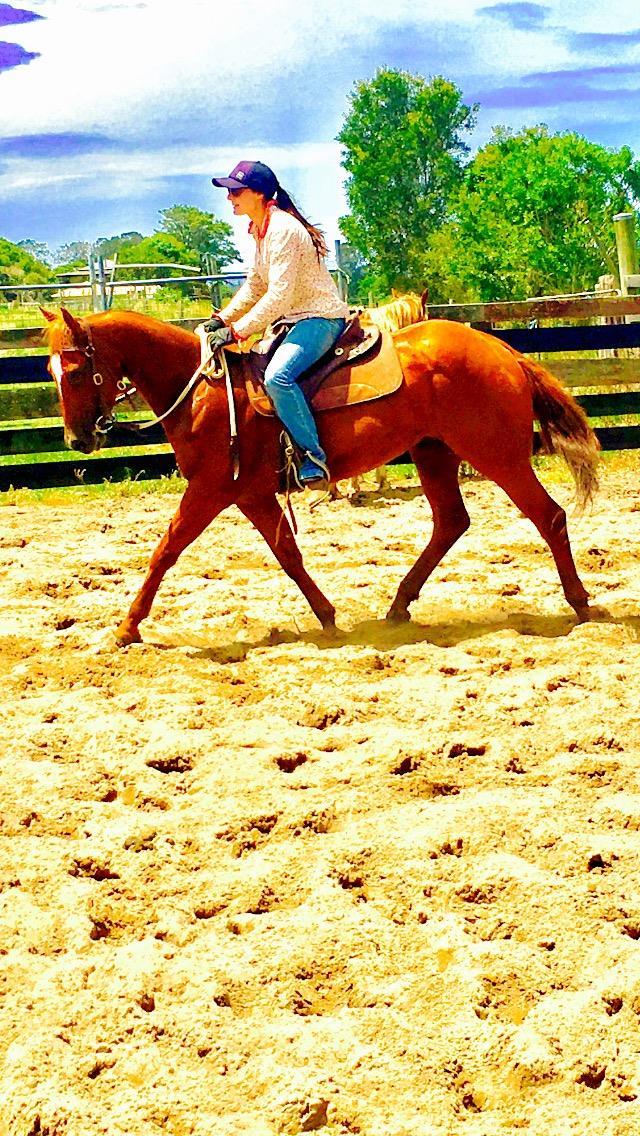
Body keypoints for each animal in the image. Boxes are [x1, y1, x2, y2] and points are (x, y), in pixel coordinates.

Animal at [43, 306, 599, 647]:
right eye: (49, 370)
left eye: (75, 370)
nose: (77, 439)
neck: (201, 390)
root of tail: (503, 350)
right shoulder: (252, 495)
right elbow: (287, 554)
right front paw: (329, 617)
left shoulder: (211, 490)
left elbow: (165, 550)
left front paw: (127, 627)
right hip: (434, 452)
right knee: (450, 522)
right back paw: (398, 606)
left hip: (497, 456)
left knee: (548, 517)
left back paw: (580, 605)